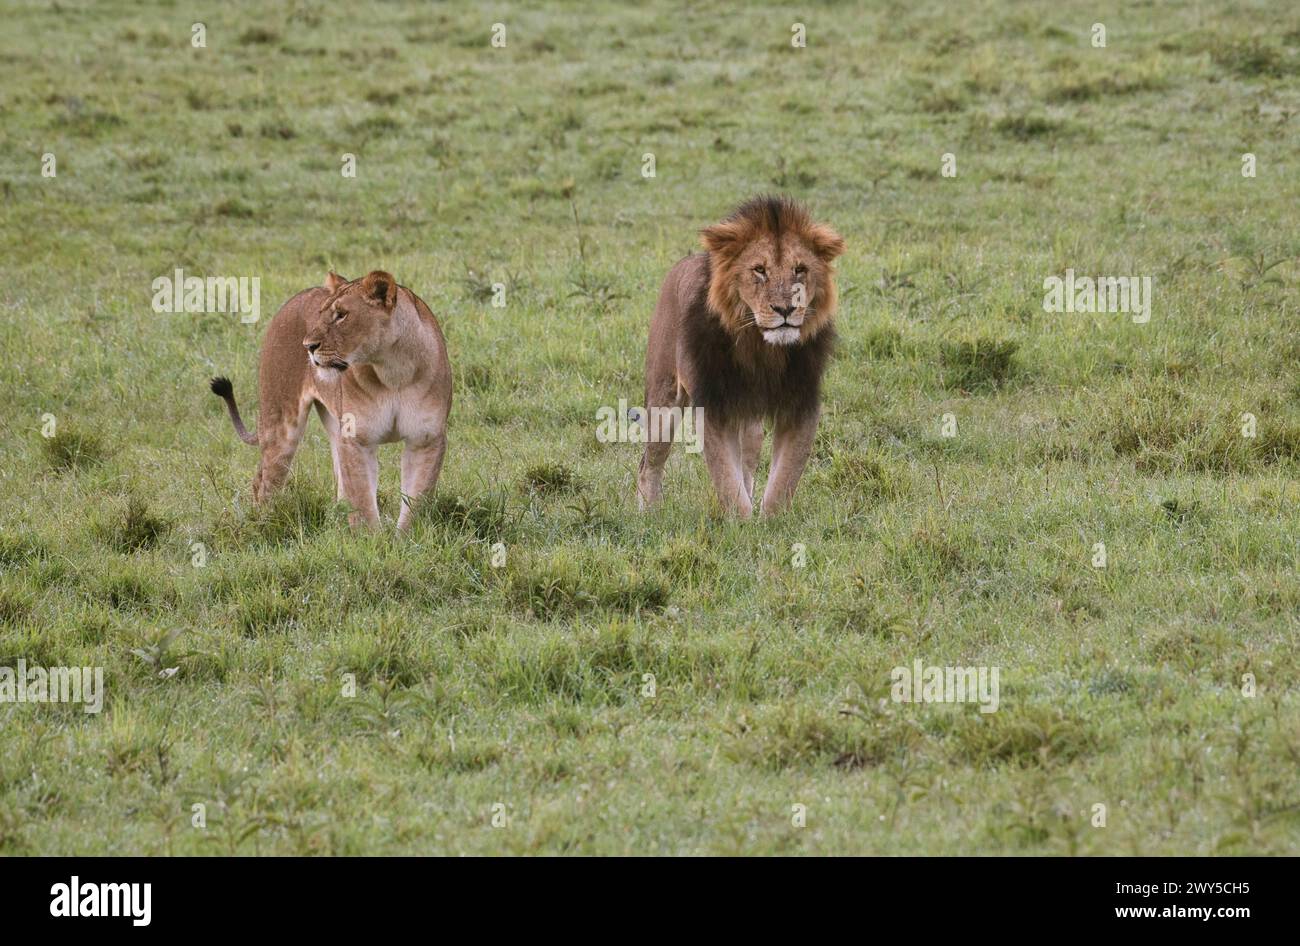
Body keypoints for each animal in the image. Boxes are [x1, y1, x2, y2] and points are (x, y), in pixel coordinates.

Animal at [209, 270, 452, 530]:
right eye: (321, 314)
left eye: (342, 315)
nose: (308, 346)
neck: (393, 371)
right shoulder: (357, 440)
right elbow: (363, 504)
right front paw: (372, 539)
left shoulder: (425, 439)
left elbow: (415, 502)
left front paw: (404, 538)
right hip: (280, 427)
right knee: (264, 482)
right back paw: (263, 524)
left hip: (335, 427)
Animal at [638, 196, 844, 516]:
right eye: (759, 270)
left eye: (800, 269)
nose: (785, 309)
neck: (763, 349)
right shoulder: (713, 406)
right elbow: (727, 481)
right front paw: (744, 523)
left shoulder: (801, 406)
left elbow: (783, 481)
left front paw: (772, 523)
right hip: (664, 398)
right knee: (649, 461)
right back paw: (649, 513)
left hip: (749, 424)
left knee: (747, 465)